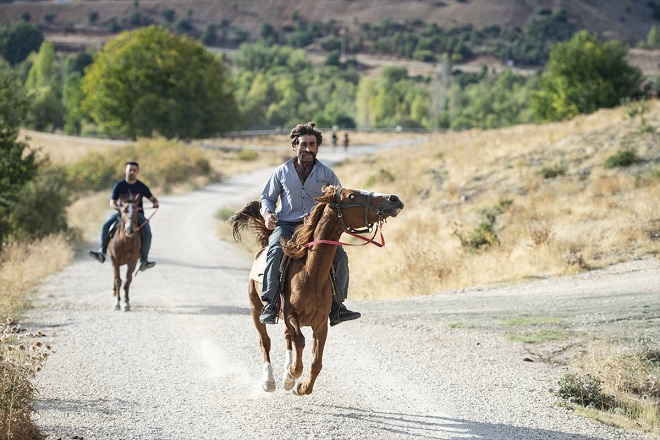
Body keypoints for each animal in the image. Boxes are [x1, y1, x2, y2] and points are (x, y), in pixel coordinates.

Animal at [229, 186, 404, 396]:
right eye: (351, 195)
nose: (394, 199)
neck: (309, 275)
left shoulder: (321, 324)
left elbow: (316, 362)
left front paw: (302, 386)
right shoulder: (291, 316)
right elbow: (300, 340)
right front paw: (294, 373)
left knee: (286, 337)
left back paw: (286, 378)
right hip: (255, 309)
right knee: (265, 342)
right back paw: (269, 381)